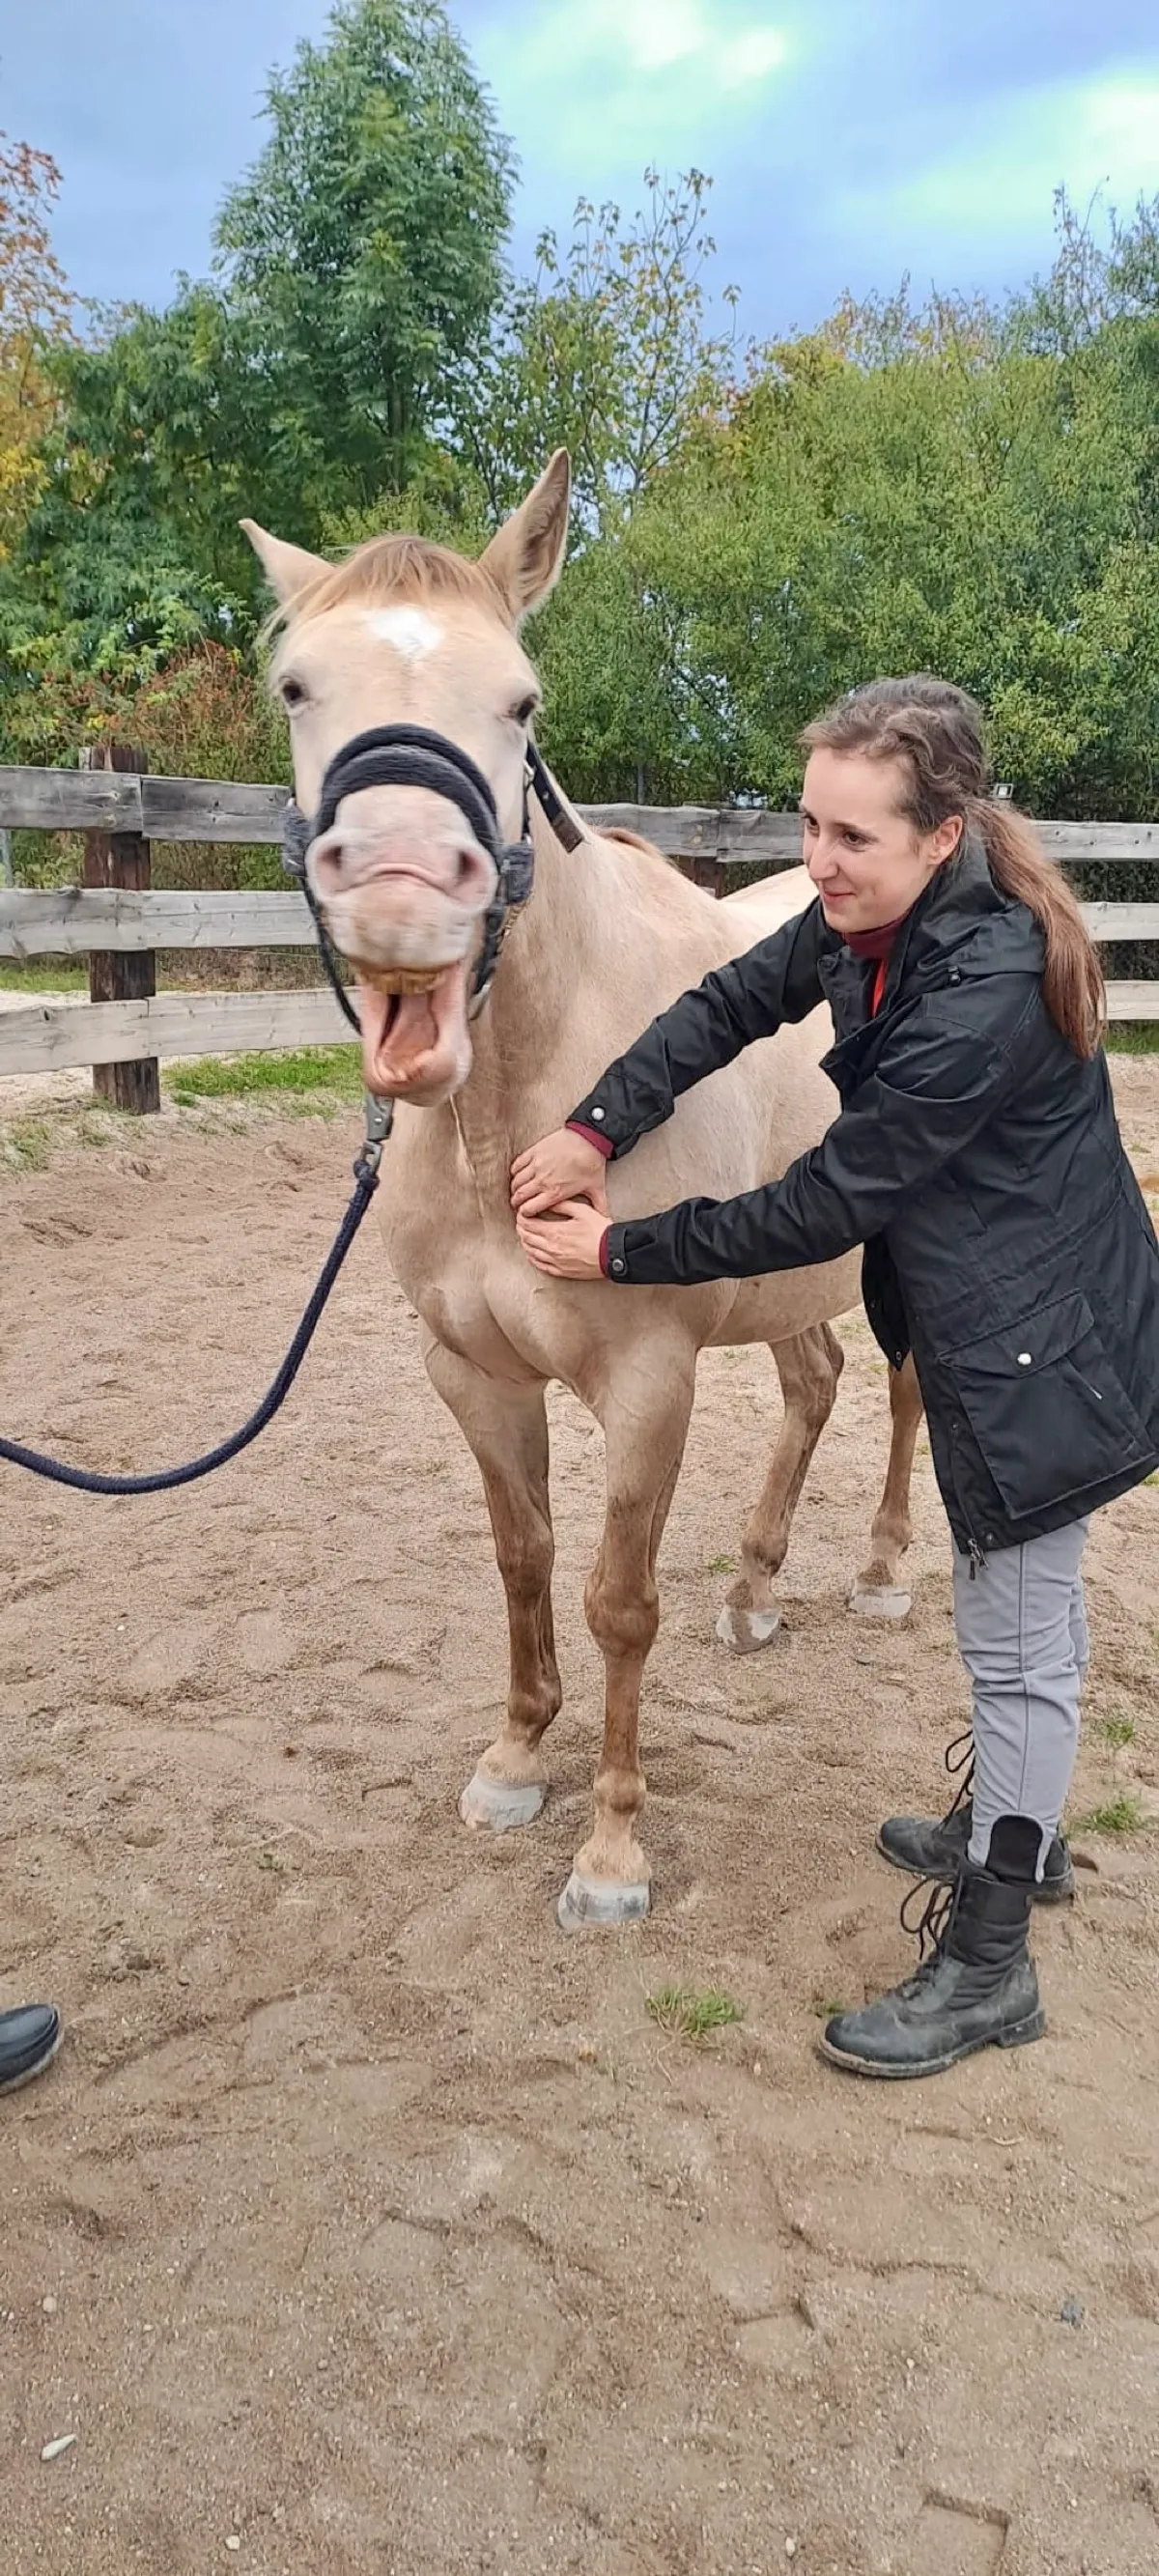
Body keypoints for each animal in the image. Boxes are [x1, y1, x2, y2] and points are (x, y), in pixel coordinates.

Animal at [242, 451, 922, 1929]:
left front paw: (612, 1850)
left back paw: (884, 1571)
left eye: (523, 700)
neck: (520, 1111)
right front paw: (512, 1761)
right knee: (817, 1386)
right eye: (297, 686)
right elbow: (526, 1559)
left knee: (902, 1400)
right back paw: (756, 1590)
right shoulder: (473, 1373)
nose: (401, 891)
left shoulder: (649, 1382)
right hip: (789, 1281)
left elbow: (619, 1599)